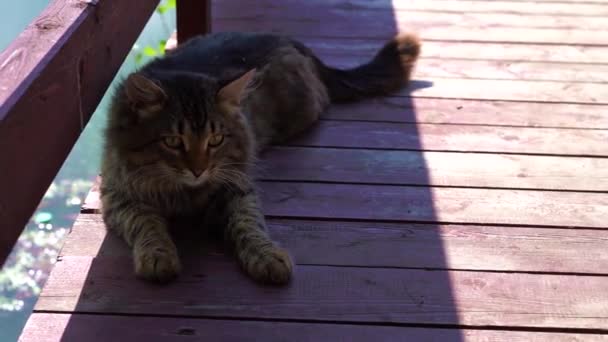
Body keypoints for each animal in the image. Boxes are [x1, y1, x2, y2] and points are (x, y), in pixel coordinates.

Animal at [101, 31, 422, 284]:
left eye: (215, 140)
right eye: (172, 142)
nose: (198, 170)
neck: (184, 194)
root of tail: (283, 36)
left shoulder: (237, 187)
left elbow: (249, 224)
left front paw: (267, 257)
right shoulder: (119, 195)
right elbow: (147, 226)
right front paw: (158, 256)